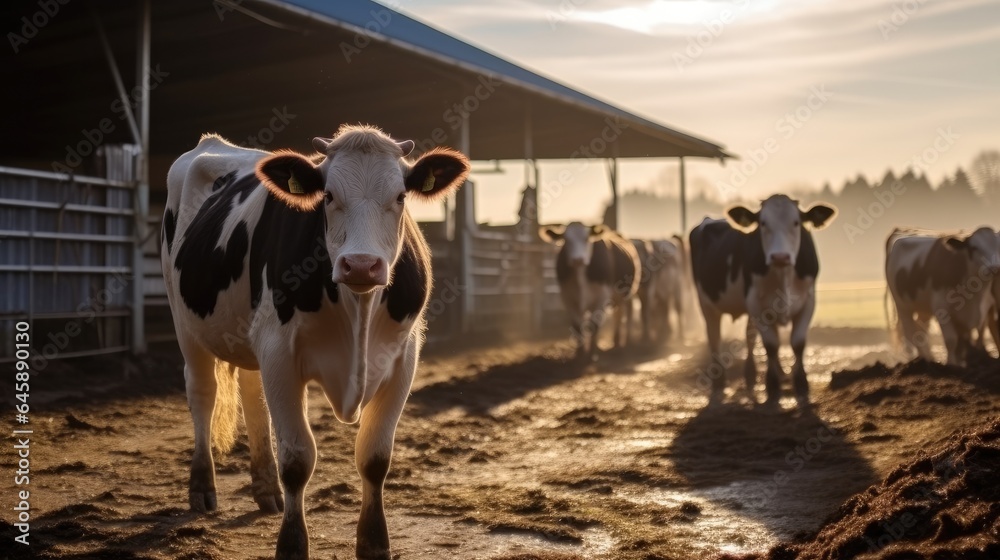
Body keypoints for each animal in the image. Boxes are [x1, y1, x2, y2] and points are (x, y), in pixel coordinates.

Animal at [162, 126, 470, 560]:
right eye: (328, 196)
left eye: (400, 197)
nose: (361, 265)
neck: (358, 311)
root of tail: (214, 143)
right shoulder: (280, 351)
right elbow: (297, 459)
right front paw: (292, 545)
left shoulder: (404, 357)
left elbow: (375, 456)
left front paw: (374, 543)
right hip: (185, 321)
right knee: (203, 394)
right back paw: (202, 488)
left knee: (252, 395)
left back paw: (266, 489)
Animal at [540, 223, 640, 358]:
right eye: (566, 240)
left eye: (586, 239)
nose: (578, 260)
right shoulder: (568, 298)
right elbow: (577, 326)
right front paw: (580, 354)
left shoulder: (601, 298)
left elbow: (593, 325)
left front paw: (592, 354)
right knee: (617, 315)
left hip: (626, 294)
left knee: (623, 314)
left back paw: (623, 343)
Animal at [688, 196, 836, 406]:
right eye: (763, 223)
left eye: (796, 222)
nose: (780, 256)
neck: (783, 275)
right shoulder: (757, 305)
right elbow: (771, 344)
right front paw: (772, 385)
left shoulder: (808, 301)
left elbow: (797, 342)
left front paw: (800, 382)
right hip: (707, 304)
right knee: (714, 336)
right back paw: (719, 381)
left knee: (749, 336)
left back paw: (755, 373)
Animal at [884, 225, 1000, 366]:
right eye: (974, 248)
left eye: (998, 246)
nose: (995, 268)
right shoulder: (942, 308)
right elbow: (952, 340)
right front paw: (952, 365)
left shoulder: (986, 307)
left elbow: (975, 335)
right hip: (902, 305)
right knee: (910, 333)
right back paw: (921, 360)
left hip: (924, 309)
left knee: (921, 331)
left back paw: (929, 359)